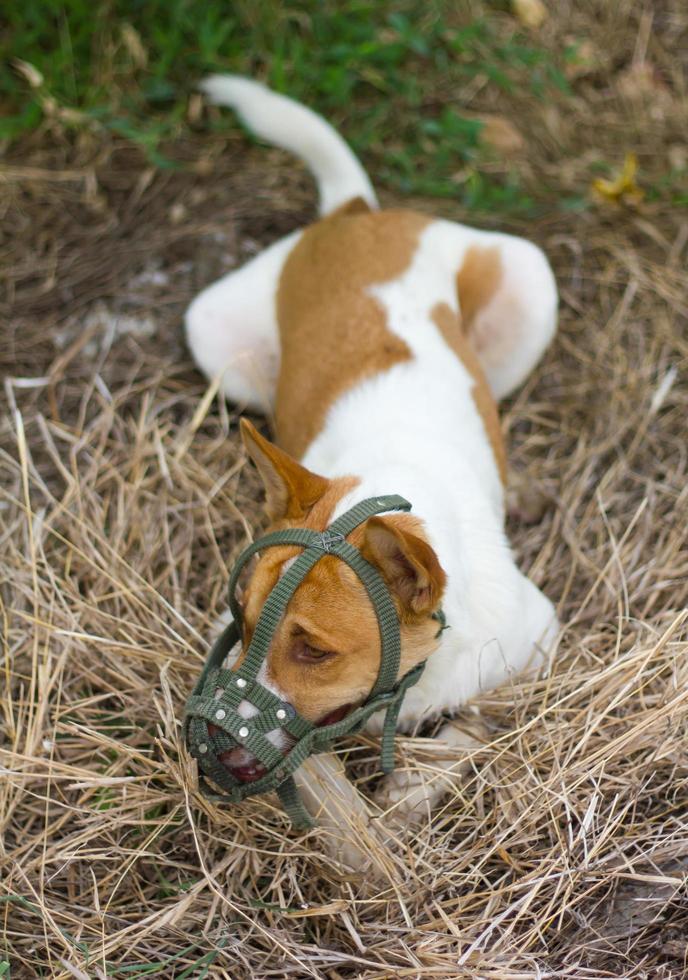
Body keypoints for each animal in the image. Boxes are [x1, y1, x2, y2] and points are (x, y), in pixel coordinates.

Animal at [184, 76, 560, 868]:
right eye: (243, 621)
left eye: (313, 649)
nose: (213, 752)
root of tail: (355, 216)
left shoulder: (537, 639)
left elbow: (476, 725)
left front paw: (415, 787)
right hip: (216, 342)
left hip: (529, 289)